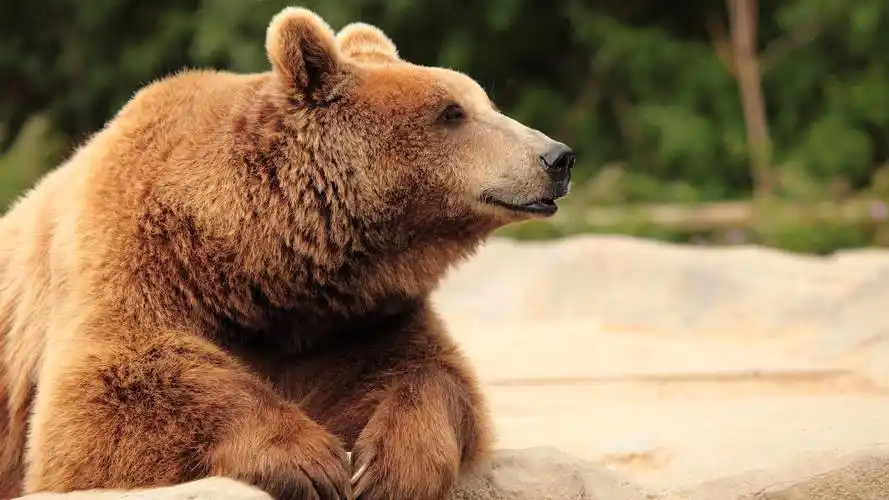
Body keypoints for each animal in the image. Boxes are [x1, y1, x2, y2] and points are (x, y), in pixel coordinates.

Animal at [0, 6, 575, 500]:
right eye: (452, 113)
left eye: (486, 103)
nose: (557, 156)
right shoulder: (134, 255)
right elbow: (112, 393)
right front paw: (310, 462)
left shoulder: (354, 318)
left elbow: (429, 373)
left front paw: (386, 467)